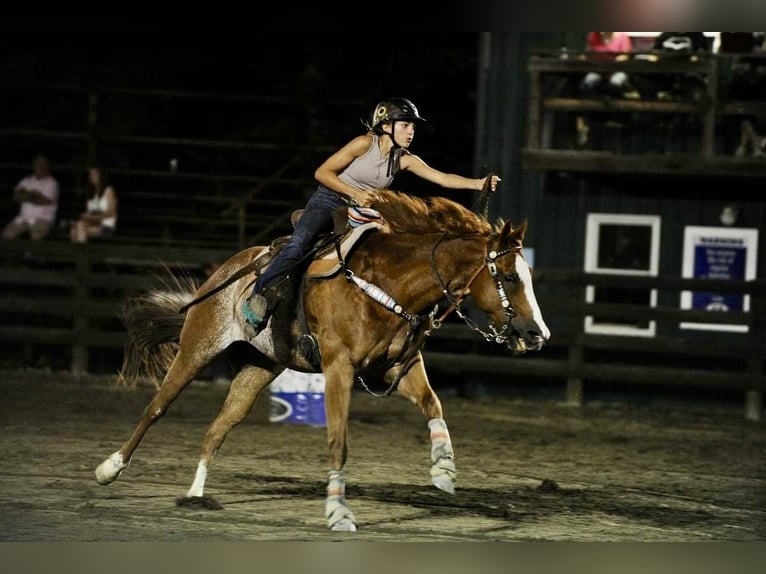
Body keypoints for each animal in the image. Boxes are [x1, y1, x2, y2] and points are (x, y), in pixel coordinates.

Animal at [94, 188, 550, 532]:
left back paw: (195, 495)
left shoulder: (397, 368)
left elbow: (433, 405)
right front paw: (337, 511)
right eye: (511, 277)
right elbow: (338, 440)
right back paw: (109, 469)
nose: (538, 334)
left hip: (258, 370)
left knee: (217, 429)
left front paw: (444, 471)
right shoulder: (339, 369)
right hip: (197, 348)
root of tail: (228, 270)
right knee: (156, 407)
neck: (389, 283)